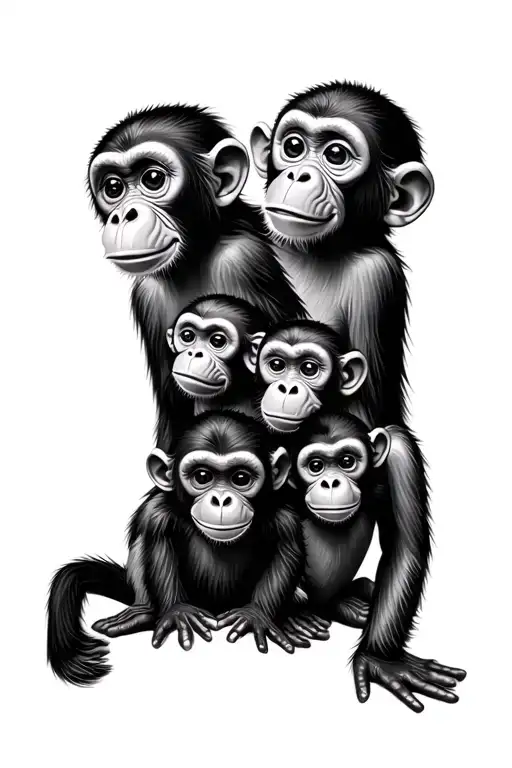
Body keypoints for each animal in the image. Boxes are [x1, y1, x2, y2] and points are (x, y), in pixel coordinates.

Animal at [47, 412, 304, 686]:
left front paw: (256, 615)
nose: (221, 499)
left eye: (241, 478)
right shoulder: (156, 511)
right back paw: (143, 612)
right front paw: (178, 612)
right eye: (202, 477)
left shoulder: (286, 517)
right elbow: (159, 545)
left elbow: (286, 552)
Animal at [88, 105, 306, 451]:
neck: (196, 255)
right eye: (113, 188)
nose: (123, 215)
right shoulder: (148, 297)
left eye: (153, 179)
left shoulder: (242, 261)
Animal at [283, 412, 466, 712]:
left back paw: (350, 599)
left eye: (347, 461)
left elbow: (404, 547)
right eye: (316, 466)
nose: (331, 483)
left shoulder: (401, 454)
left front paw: (379, 660)